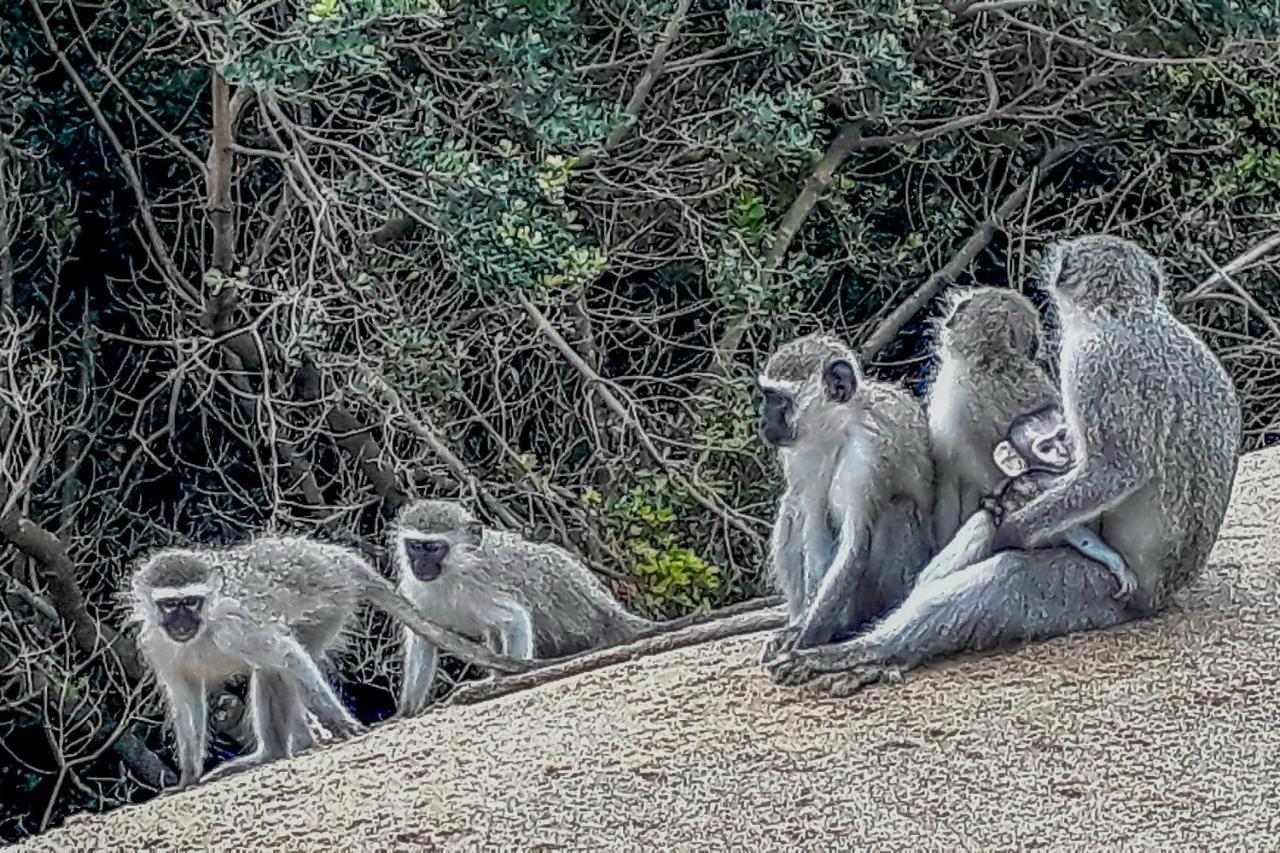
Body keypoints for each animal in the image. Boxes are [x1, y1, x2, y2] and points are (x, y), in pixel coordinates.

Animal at [391, 499, 788, 712]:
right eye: (415, 546)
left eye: (434, 547)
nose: (420, 565)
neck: (447, 576)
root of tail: (603, 610)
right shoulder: (415, 592)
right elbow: (424, 640)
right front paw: (407, 712)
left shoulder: (480, 588)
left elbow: (515, 620)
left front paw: (501, 684)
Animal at [752, 333, 936, 655]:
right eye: (767, 396)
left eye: (779, 400)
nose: (763, 422)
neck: (835, 429)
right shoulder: (799, 455)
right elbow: (813, 525)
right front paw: (801, 626)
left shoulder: (867, 452)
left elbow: (855, 537)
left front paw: (807, 634)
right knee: (792, 506)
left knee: (900, 507)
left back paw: (854, 622)